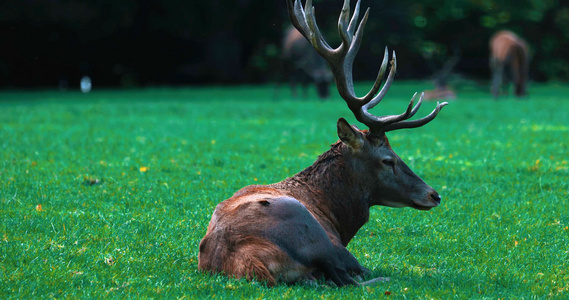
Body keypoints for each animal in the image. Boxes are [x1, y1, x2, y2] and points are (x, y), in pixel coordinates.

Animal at [197, 0, 446, 288]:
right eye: (388, 159)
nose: (434, 195)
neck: (336, 214)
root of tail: (250, 263)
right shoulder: (339, 245)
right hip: (313, 233)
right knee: (348, 279)